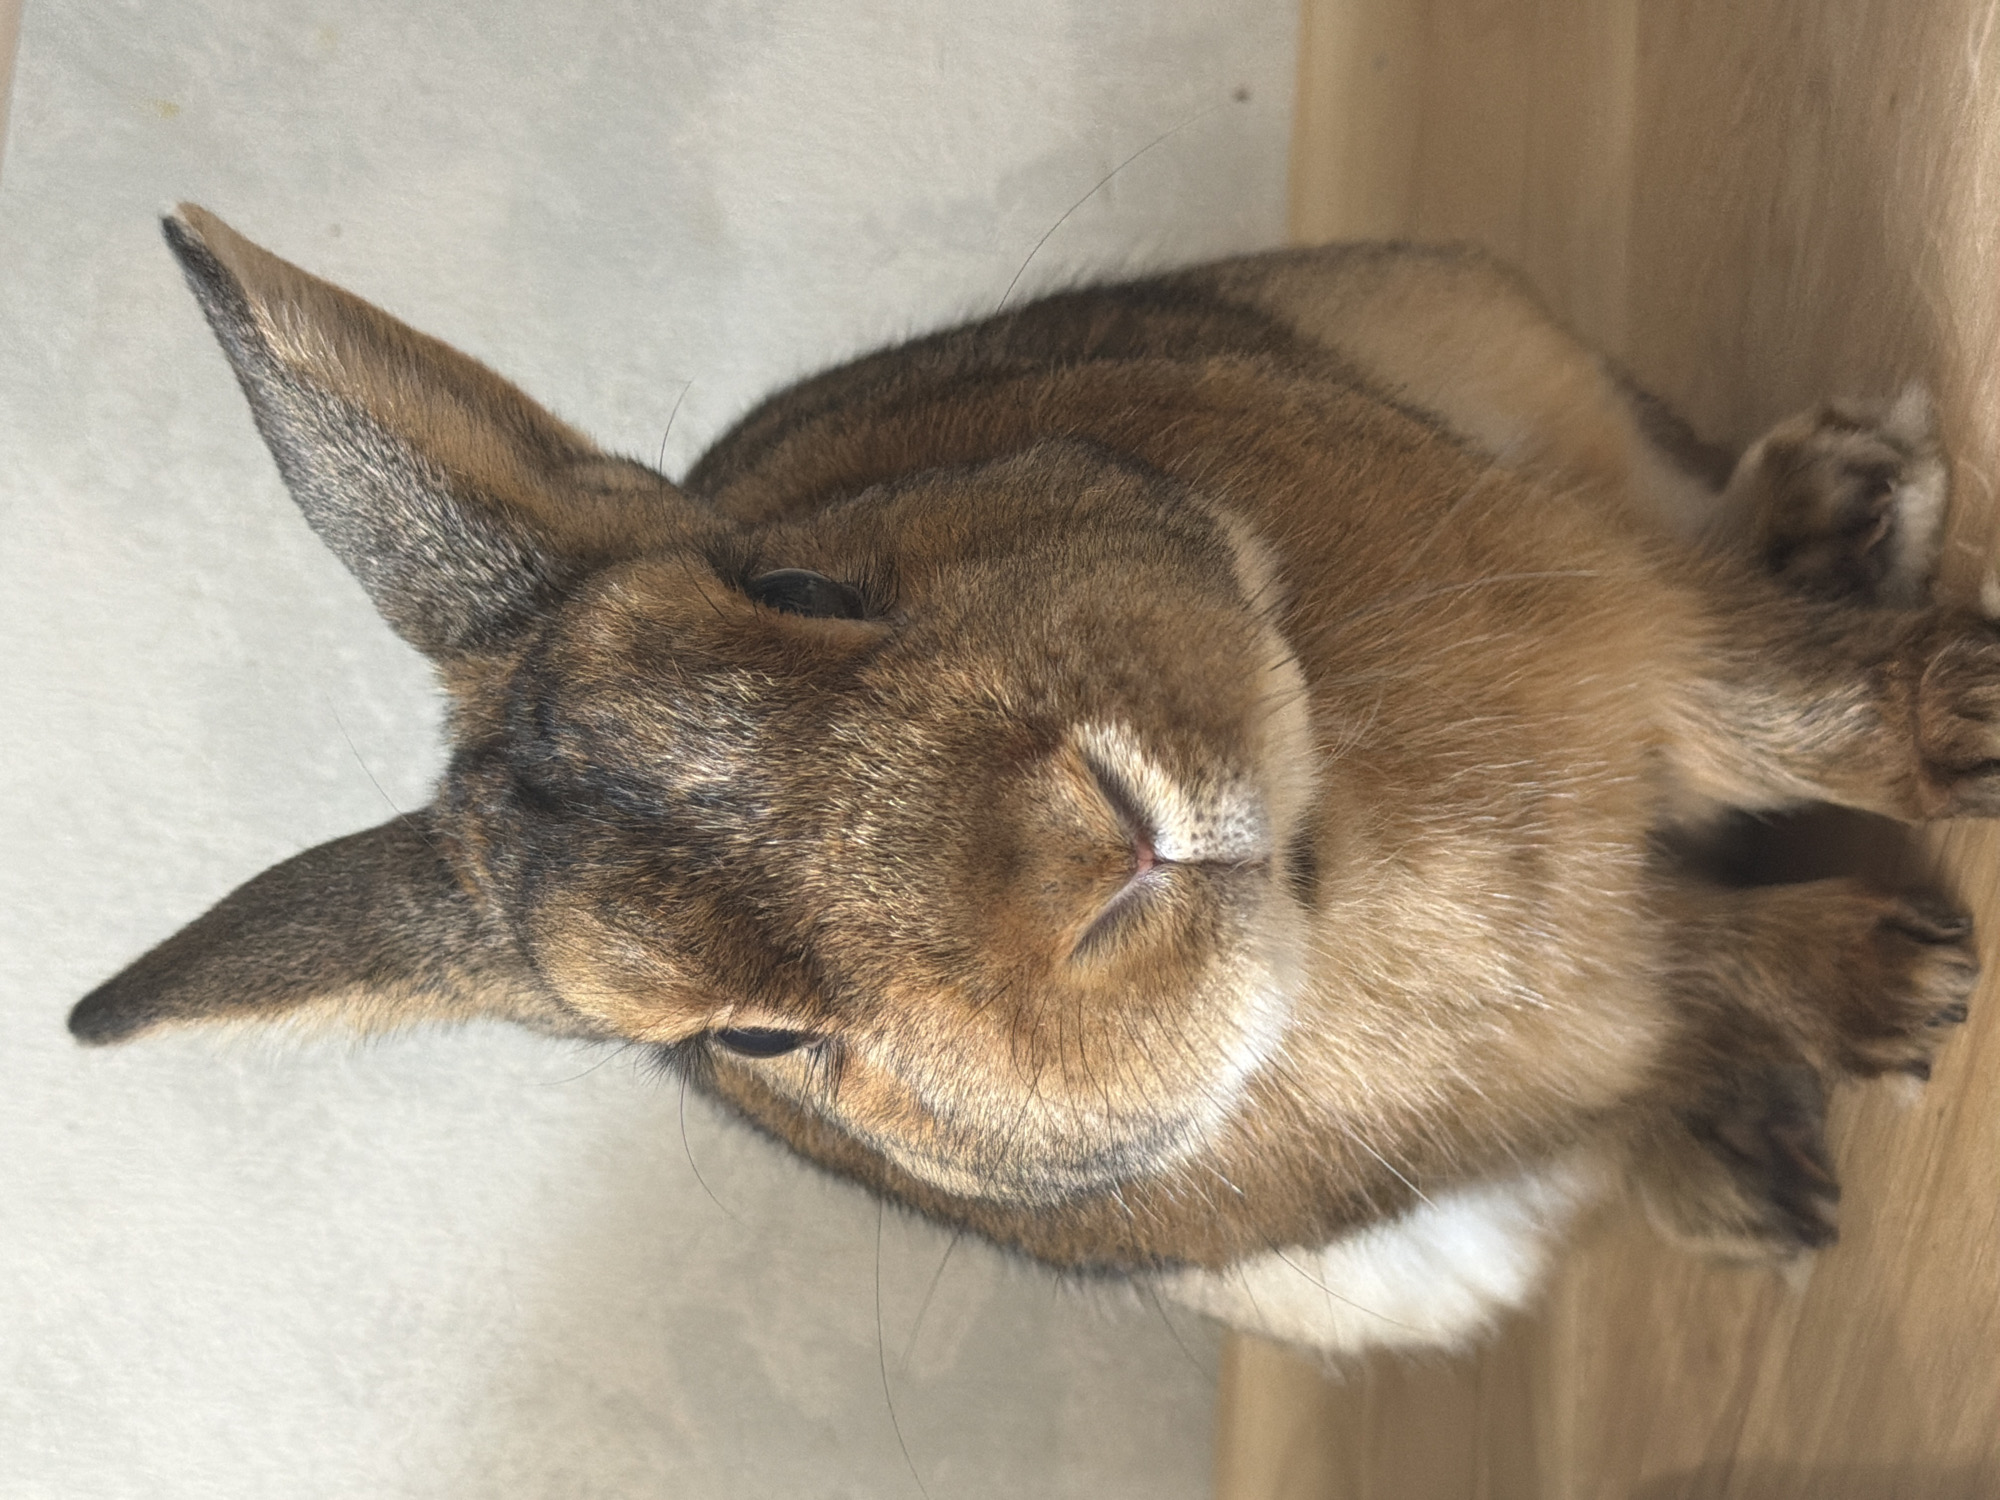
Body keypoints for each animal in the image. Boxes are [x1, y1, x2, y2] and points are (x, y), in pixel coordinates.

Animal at [70, 206, 1979, 1357]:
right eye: (752, 1041)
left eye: (801, 583)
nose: (1095, 854)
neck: (1334, 860)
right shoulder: (1616, 994)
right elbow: (1708, 969)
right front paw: (1904, 984)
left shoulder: (1640, 632)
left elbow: (1789, 702)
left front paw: (1969, 710)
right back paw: (1760, 1170)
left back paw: (1850, 500)